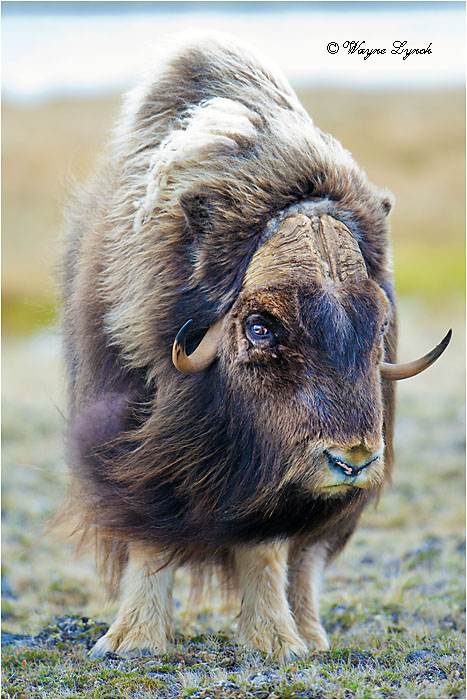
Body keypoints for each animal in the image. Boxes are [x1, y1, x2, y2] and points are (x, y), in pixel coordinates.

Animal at [61, 32, 450, 660]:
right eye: (261, 326)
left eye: (380, 321)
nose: (353, 461)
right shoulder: (133, 452)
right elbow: (149, 543)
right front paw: (130, 643)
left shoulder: (279, 491)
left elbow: (267, 549)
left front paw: (277, 645)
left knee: (305, 564)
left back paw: (312, 637)